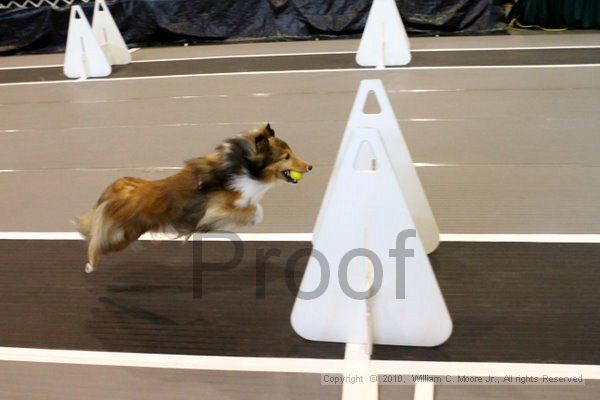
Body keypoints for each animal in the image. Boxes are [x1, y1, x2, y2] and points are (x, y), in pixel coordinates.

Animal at [75, 125, 312, 274]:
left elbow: (253, 205)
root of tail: (115, 189)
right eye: (286, 157)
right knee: (96, 244)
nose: (310, 167)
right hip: (124, 235)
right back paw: (89, 266)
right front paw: (254, 218)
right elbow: (252, 208)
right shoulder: (217, 208)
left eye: (292, 152)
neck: (245, 166)